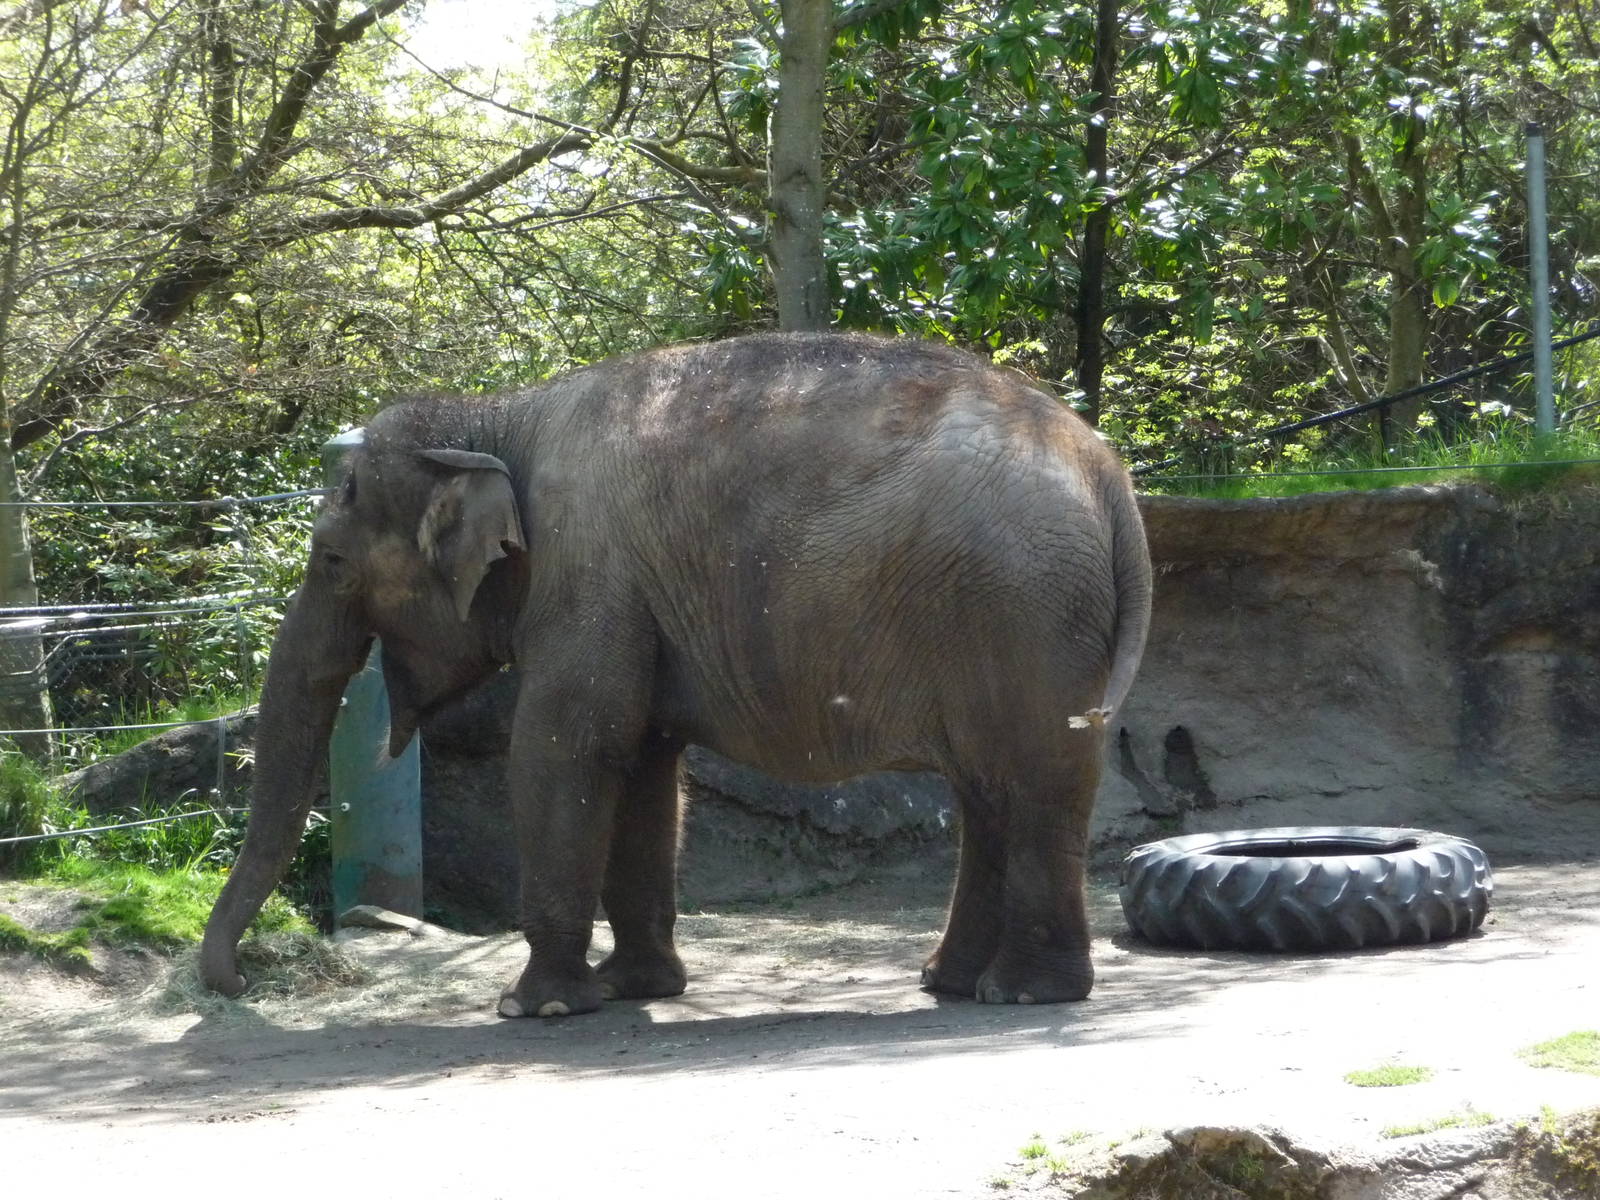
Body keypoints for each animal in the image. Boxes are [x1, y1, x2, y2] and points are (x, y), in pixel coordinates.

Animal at [200, 331, 1151, 1016]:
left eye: (329, 561)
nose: (236, 984)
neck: (494, 420)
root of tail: (1107, 471)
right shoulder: (634, 600)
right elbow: (646, 766)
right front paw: (637, 989)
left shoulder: (589, 572)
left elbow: (563, 748)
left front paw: (537, 1008)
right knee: (988, 787)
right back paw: (950, 984)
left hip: (1023, 611)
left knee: (1032, 779)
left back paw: (1023, 993)